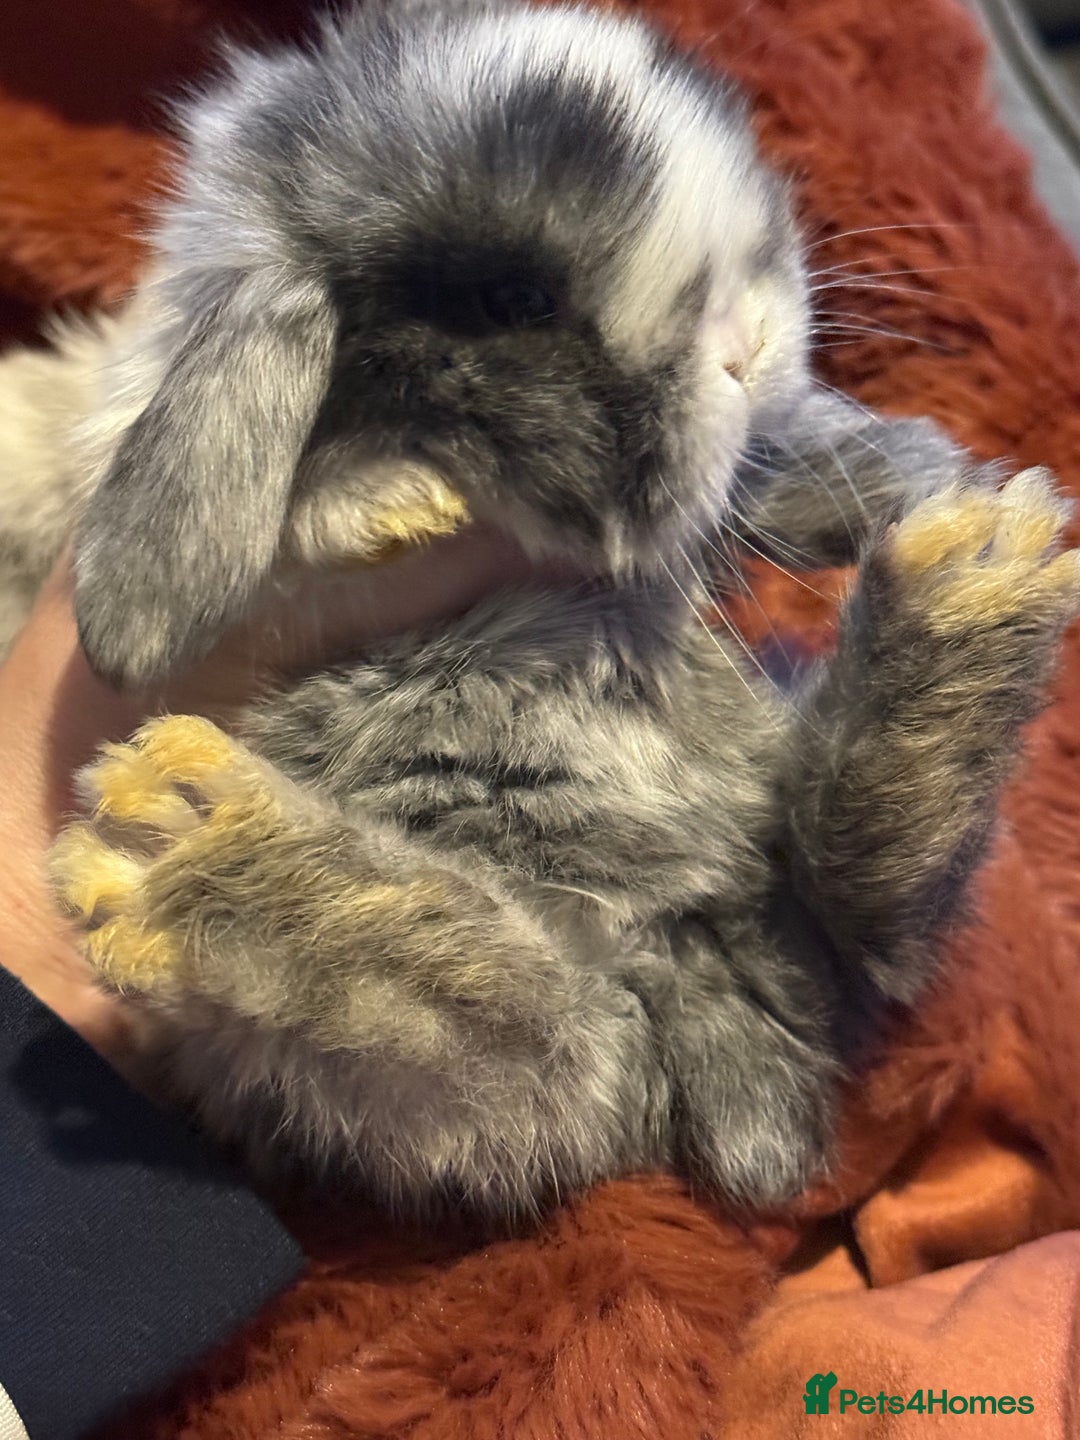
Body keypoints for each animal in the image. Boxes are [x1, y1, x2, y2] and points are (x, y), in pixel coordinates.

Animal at [0, 0, 1073, 1221]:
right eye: (514, 302)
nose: (750, 341)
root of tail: (715, 982)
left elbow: (768, 468)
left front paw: (915, 470)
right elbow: (304, 517)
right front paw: (390, 504)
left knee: (851, 902)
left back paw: (972, 574)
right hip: (447, 1062)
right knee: (513, 1011)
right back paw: (188, 853)